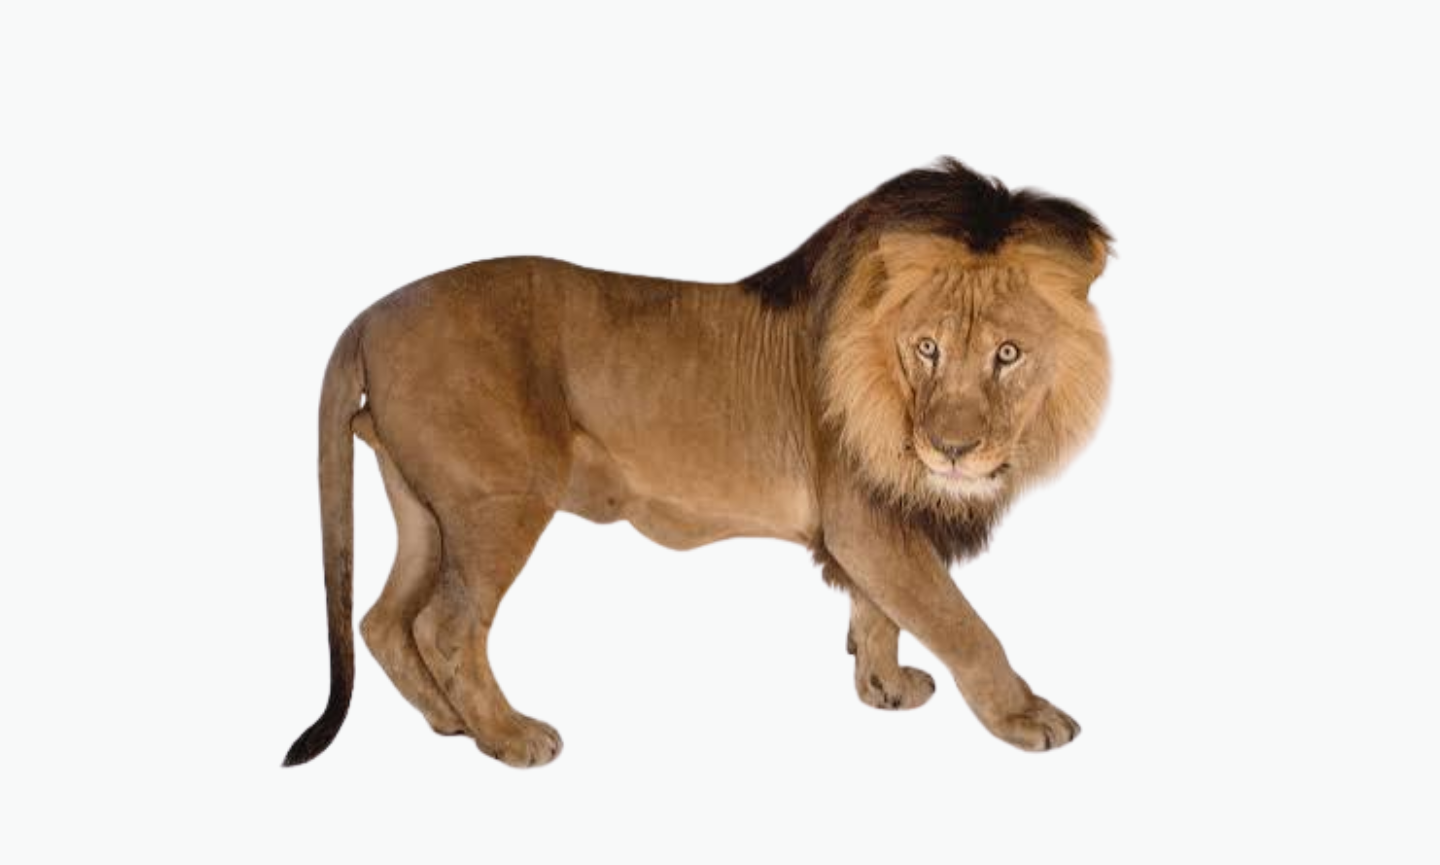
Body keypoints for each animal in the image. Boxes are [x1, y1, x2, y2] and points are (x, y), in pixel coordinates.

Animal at [283, 158, 1113, 767]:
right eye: (928, 347)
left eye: (1008, 354)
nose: (952, 449)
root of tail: (367, 314)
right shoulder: (867, 520)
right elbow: (962, 623)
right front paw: (1026, 715)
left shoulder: (871, 525)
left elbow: (879, 610)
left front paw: (884, 686)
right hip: (500, 503)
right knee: (446, 626)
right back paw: (509, 737)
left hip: (426, 508)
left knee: (384, 619)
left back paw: (450, 722)